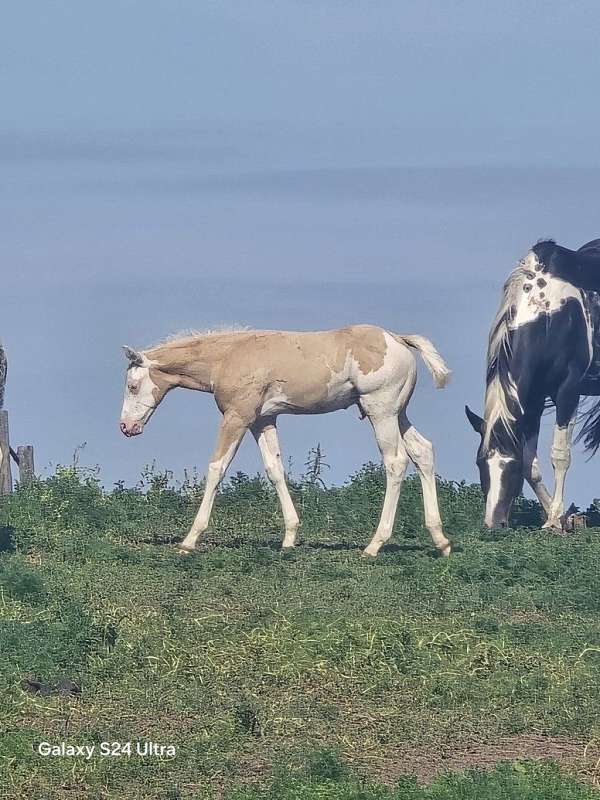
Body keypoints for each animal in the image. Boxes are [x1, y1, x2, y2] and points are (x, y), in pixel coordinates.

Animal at [119, 325, 452, 557]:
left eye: (132, 386)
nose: (126, 427)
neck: (228, 357)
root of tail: (398, 339)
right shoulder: (262, 421)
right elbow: (275, 470)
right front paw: (290, 537)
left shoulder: (237, 417)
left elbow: (217, 468)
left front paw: (189, 540)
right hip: (399, 413)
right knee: (423, 452)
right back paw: (441, 540)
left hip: (380, 411)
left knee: (395, 463)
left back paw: (374, 545)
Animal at [466, 238, 600, 529]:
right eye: (480, 463)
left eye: (511, 466)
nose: (494, 524)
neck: (548, 311)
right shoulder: (535, 398)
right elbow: (532, 465)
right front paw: (561, 519)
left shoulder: (568, 391)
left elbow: (559, 455)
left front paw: (554, 519)